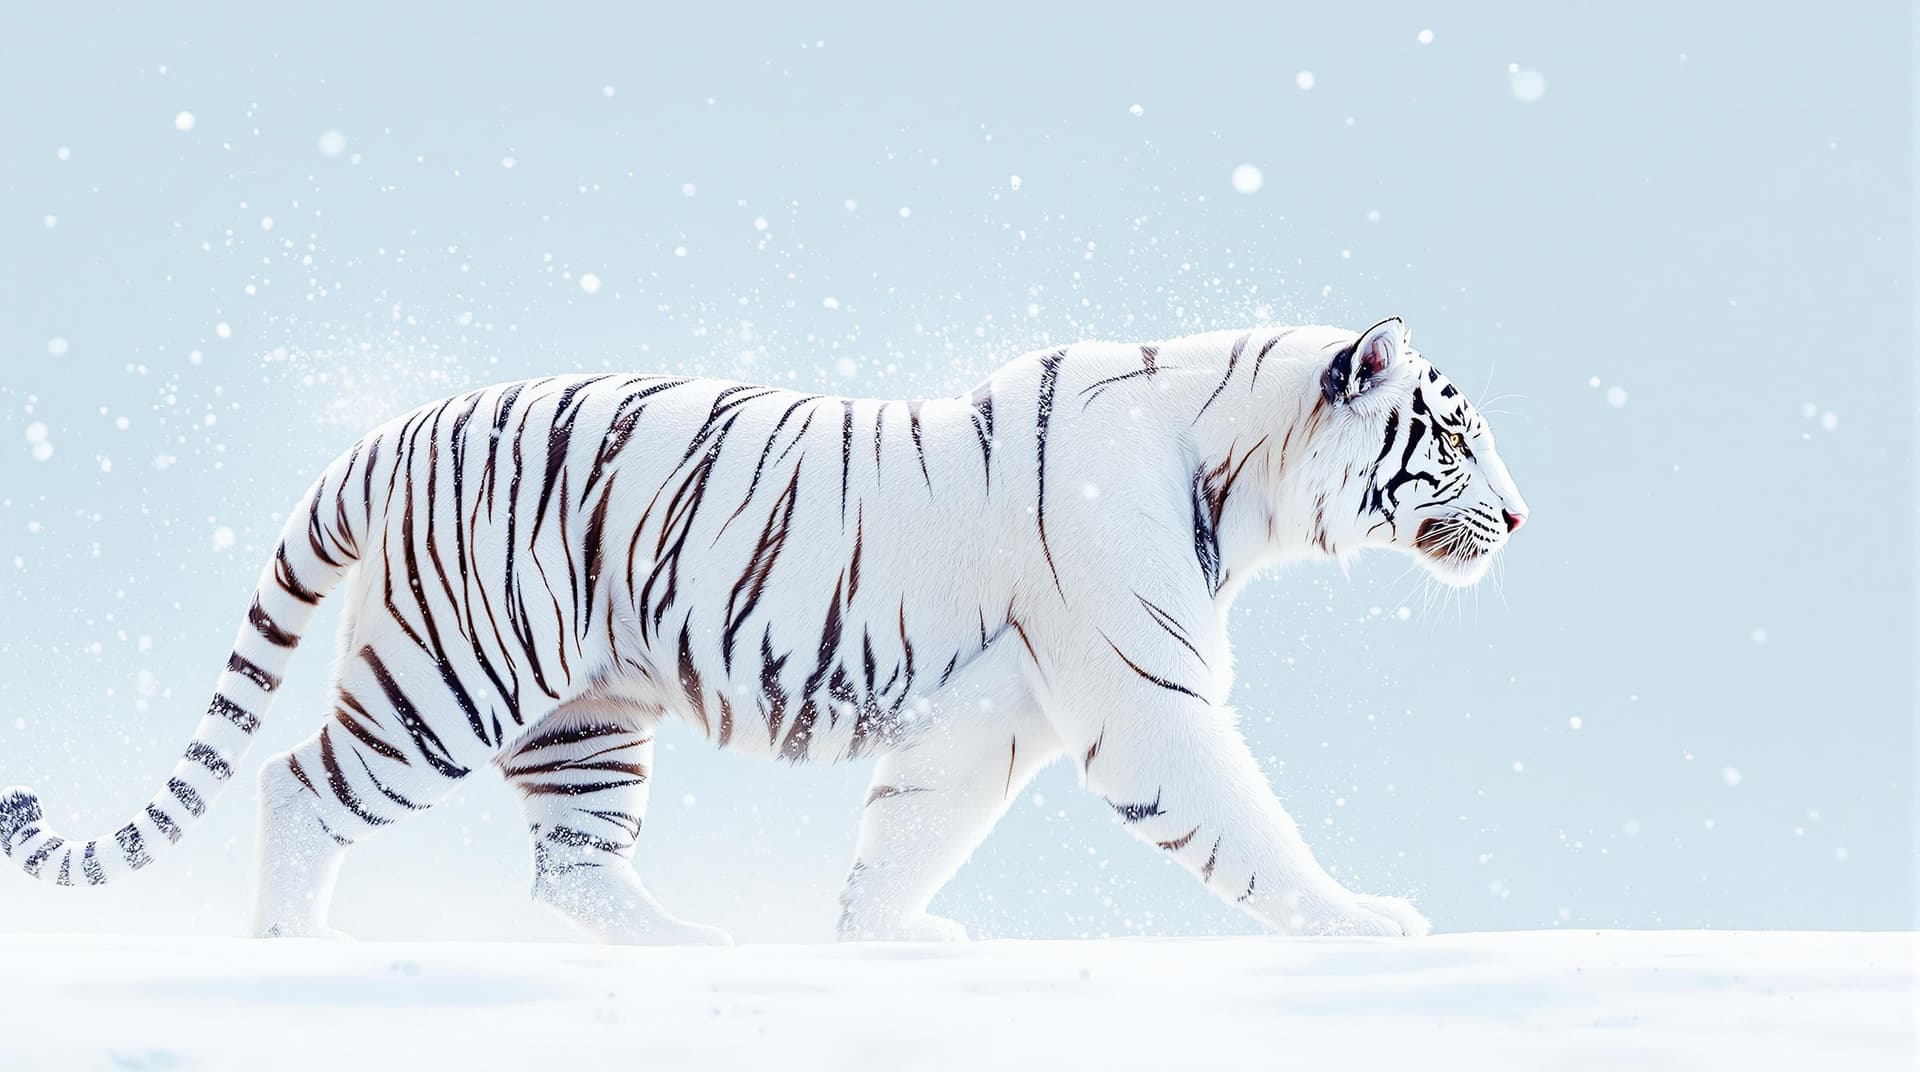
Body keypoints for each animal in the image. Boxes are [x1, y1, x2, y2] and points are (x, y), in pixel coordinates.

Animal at [0, 316, 1527, 944]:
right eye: (1452, 435)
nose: (1520, 518)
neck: (1239, 472)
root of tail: (384, 437)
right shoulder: (1142, 690)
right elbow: (1245, 825)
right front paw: (1363, 922)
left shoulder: (989, 712)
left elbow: (909, 836)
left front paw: (877, 943)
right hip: (449, 679)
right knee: (299, 785)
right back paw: (290, 952)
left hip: (588, 716)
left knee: (573, 870)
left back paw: (701, 947)